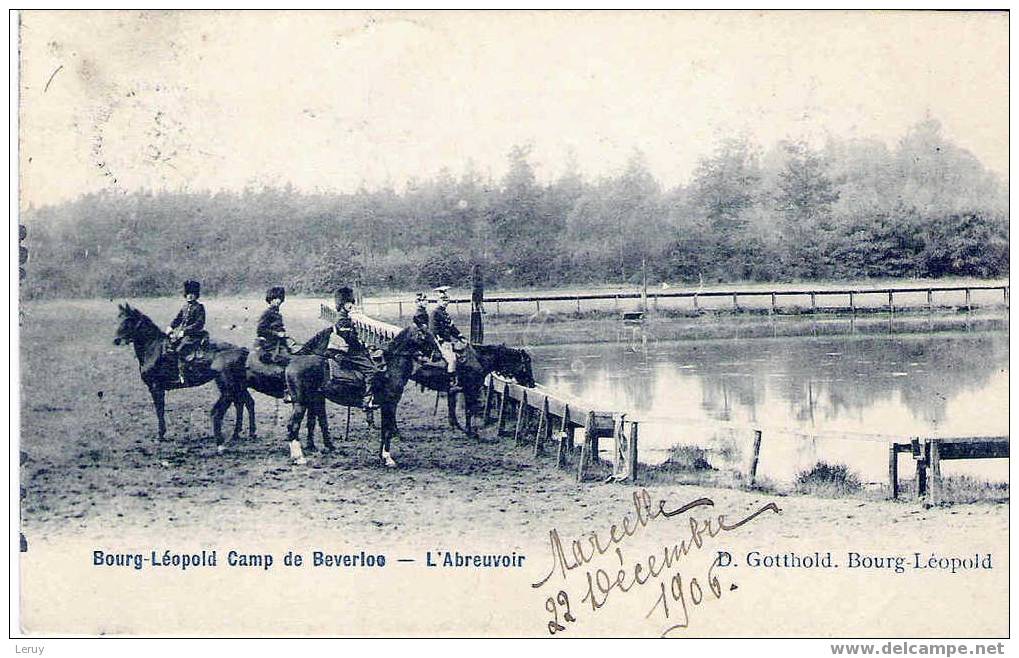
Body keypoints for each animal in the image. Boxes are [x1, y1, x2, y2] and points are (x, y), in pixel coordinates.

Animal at [112, 303, 252, 448]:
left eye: (128, 320)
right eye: (118, 318)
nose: (116, 340)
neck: (153, 349)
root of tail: (242, 350)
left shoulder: (156, 388)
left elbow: (159, 410)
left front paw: (160, 435)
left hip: (230, 385)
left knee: (242, 403)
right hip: (237, 385)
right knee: (245, 403)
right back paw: (243, 434)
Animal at [285, 327, 432, 466]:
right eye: (426, 336)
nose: (434, 355)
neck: (390, 368)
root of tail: (292, 362)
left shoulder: (385, 406)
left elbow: (384, 430)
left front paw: (382, 456)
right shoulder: (390, 405)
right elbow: (388, 430)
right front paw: (388, 458)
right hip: (301, 403)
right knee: (293, 425)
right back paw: (299, 458)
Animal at [413, 342, 542, 440]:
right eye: (527, 362)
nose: (531, 383)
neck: (478, 361)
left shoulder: (456, 392)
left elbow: (454, 411)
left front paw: (460, 428)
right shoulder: (470, 391)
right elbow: (469, 411)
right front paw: (471, 432)